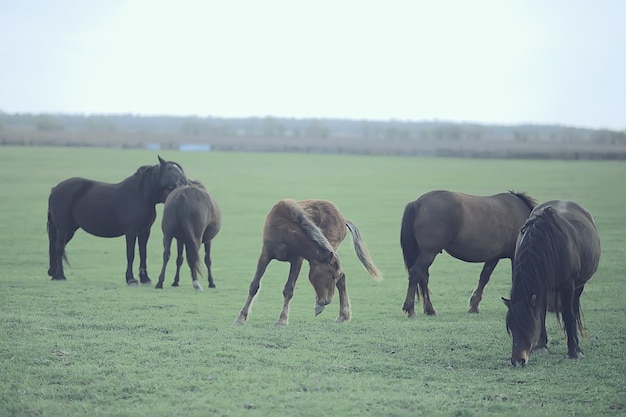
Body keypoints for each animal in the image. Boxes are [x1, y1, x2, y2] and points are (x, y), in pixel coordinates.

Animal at [47, 156, 186, 286]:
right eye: (170, 168)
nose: (183, 182)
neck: (140, 195)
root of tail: (55, 189)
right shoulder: (131, 232)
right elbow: (130, 254)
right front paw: (130, 279)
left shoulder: (144, 232)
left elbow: (143, 254)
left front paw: (145, 278)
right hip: (62, 228)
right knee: (59, 248)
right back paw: (60, 276)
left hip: (70, 229)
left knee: (56, 247)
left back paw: (54, 274)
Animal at [233, 198, 380, 324]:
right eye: (332, 276)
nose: (326, 301)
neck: (285, 229)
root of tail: (343, 219)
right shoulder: (265, 255)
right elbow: (254, 286)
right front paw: (240, 318)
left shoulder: (297, 260)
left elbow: (289, 289)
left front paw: (282, 320)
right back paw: (341, 315)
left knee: (342, 278)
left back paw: (340, 314)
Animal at [400, 189, 536, 316]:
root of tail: (418, 203)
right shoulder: (514, 256)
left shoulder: (493, 257)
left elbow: (484, 277)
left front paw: (474, 305)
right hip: (428, 254)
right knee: (416, 274)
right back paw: (410, 309)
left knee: (423, 278)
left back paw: (429, 309)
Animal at [500, 200, 596, 366]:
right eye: (511, 327)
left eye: (528, 325)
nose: (517, 361)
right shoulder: (541, 288)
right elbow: (541, 314)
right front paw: (541, 346)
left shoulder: (568, 286)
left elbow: (569, 316)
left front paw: (573, 351)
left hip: (578, 286)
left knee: (573, 310)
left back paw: (576, 346)